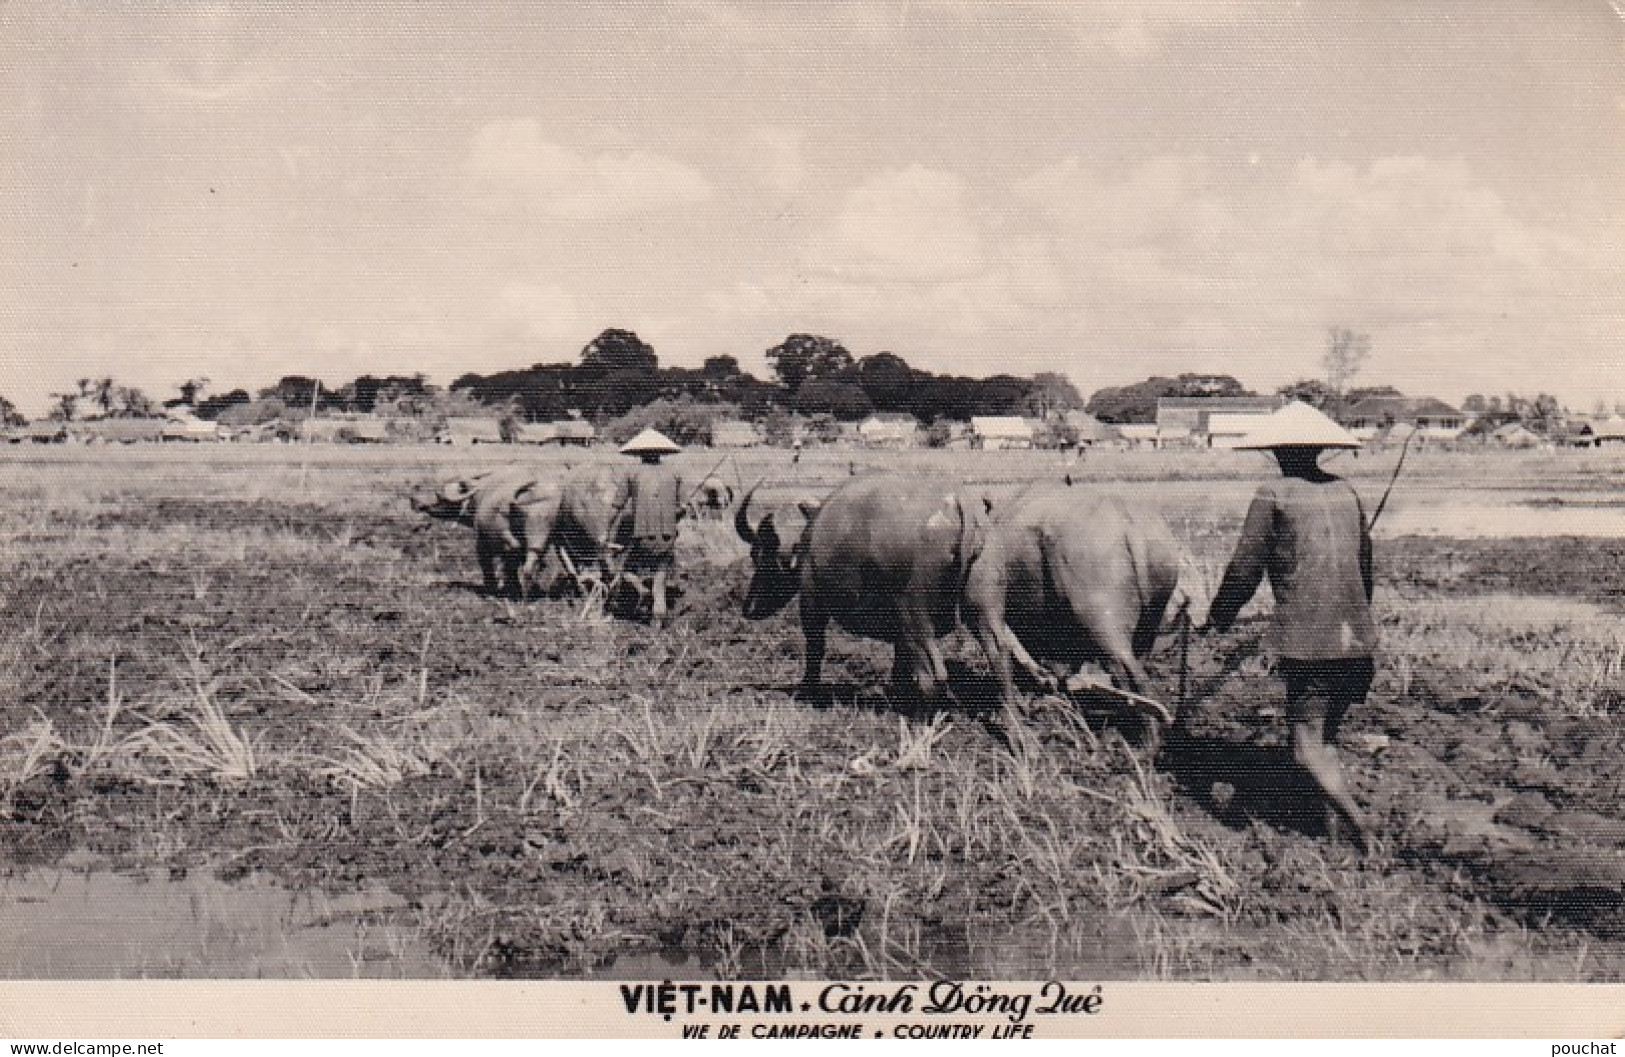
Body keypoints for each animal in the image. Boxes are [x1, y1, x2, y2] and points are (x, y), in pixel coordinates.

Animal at [741, 474, 988, 702]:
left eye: (759, 555)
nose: (748, 609)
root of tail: (959, 505)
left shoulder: (811, 600)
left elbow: (815, 646)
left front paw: (807, 691)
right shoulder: (899, 630)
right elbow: (900, 661)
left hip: (916, 617)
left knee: (934, 675)